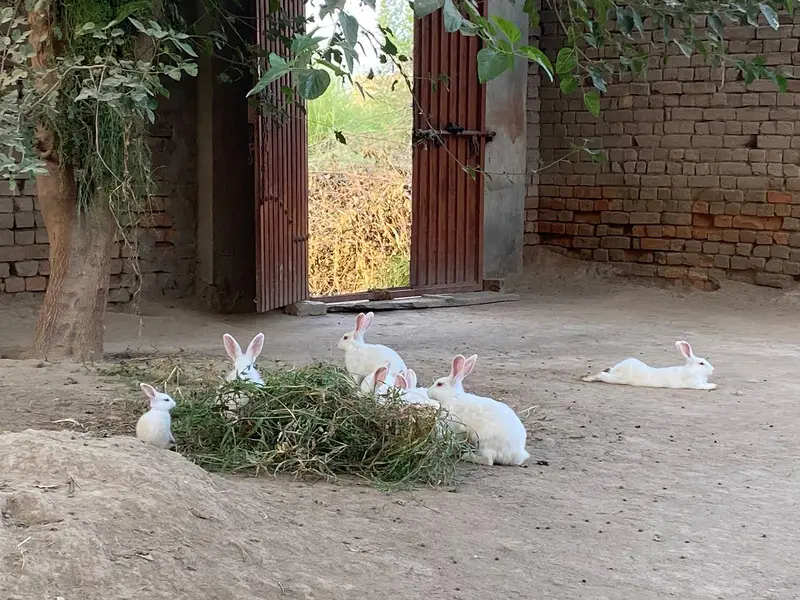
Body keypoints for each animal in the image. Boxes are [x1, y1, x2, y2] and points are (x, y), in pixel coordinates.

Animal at [581, 340, 716, 390]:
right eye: (701, 363)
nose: (713, 370)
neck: (692, 370)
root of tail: (618, 369)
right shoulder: (695, 384)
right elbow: (706, 386)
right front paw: (714, 385)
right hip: (617, 379)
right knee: (601, 374)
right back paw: (586, 378)